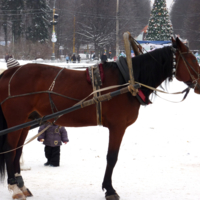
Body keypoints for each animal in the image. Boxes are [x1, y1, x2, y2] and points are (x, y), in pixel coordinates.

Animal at [0, 36, 199, 199]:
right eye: (191, 59)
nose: (198, 85)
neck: (126, 81)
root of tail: (9, 73)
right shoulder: (118, 126)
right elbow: (112, 157)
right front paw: (109, 189)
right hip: (16, 121)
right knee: (10, 150)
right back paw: (15, 188)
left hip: (26, 122)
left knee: (17, 151)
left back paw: (21, 185)